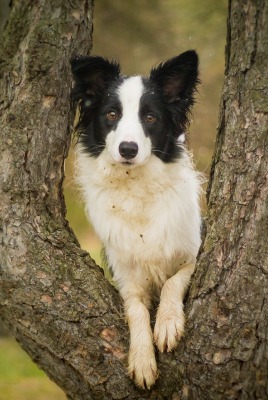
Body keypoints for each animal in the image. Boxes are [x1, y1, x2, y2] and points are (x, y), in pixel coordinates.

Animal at [70, 50, 201, 390]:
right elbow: (136, 311)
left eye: (150, 118)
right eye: (112, 114)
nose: (128, 149)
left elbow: (172, 281)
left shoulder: (193, 252)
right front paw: (142, 359)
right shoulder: (125, 275)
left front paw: (167, 323)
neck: (135, 185)